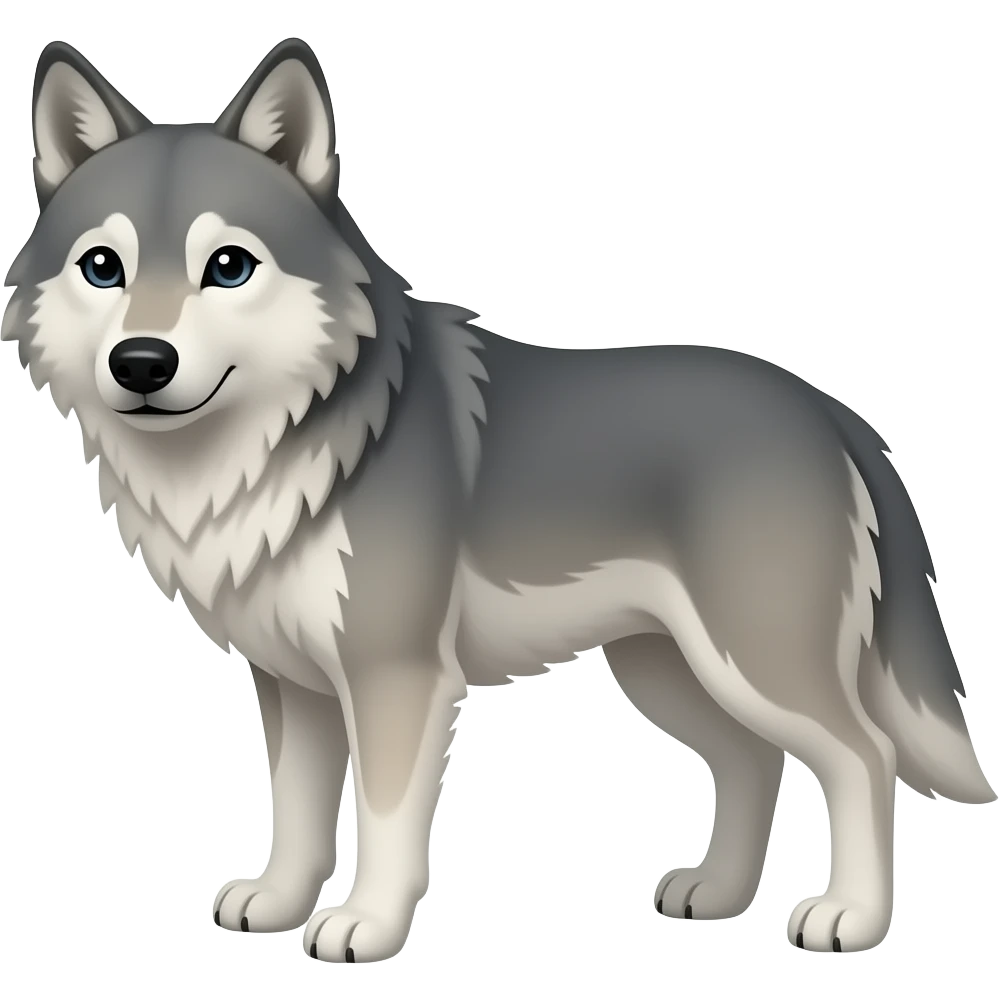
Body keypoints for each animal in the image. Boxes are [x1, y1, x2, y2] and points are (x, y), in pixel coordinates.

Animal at [3, 35, 994, 964]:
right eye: (103, 267)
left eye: (229, 267)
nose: (140, 363)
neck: (272, 449)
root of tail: (828, 408)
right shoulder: (293, 684)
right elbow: (298, 811)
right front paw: (279, 904)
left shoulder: (396, 675)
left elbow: (385, 820)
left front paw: (366, 925)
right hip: (666, 669)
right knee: (755, 760)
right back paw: (716, 893)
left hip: (752, 660)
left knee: (861, 756)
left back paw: (851, 918)